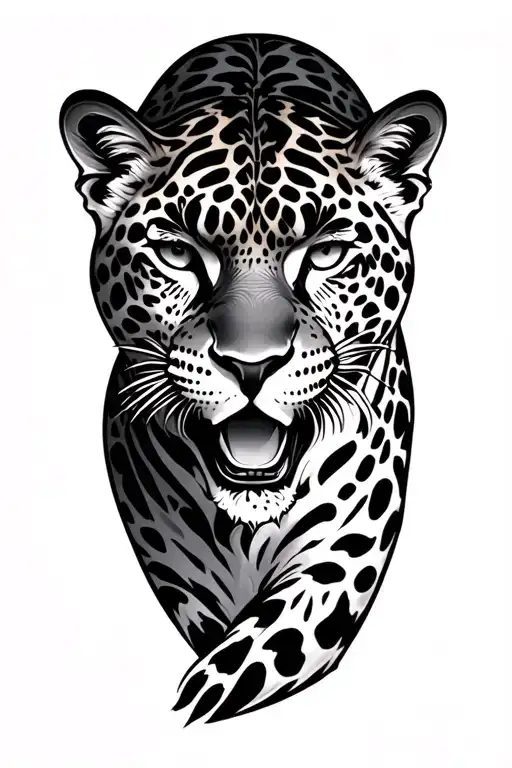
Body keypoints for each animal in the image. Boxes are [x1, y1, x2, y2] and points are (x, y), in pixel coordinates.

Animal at [60, 33, 445, 725]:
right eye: (178, 252)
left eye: (325, 252)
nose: (251, 363)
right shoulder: (181, 574)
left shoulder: (338, 561)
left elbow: (243, 664)